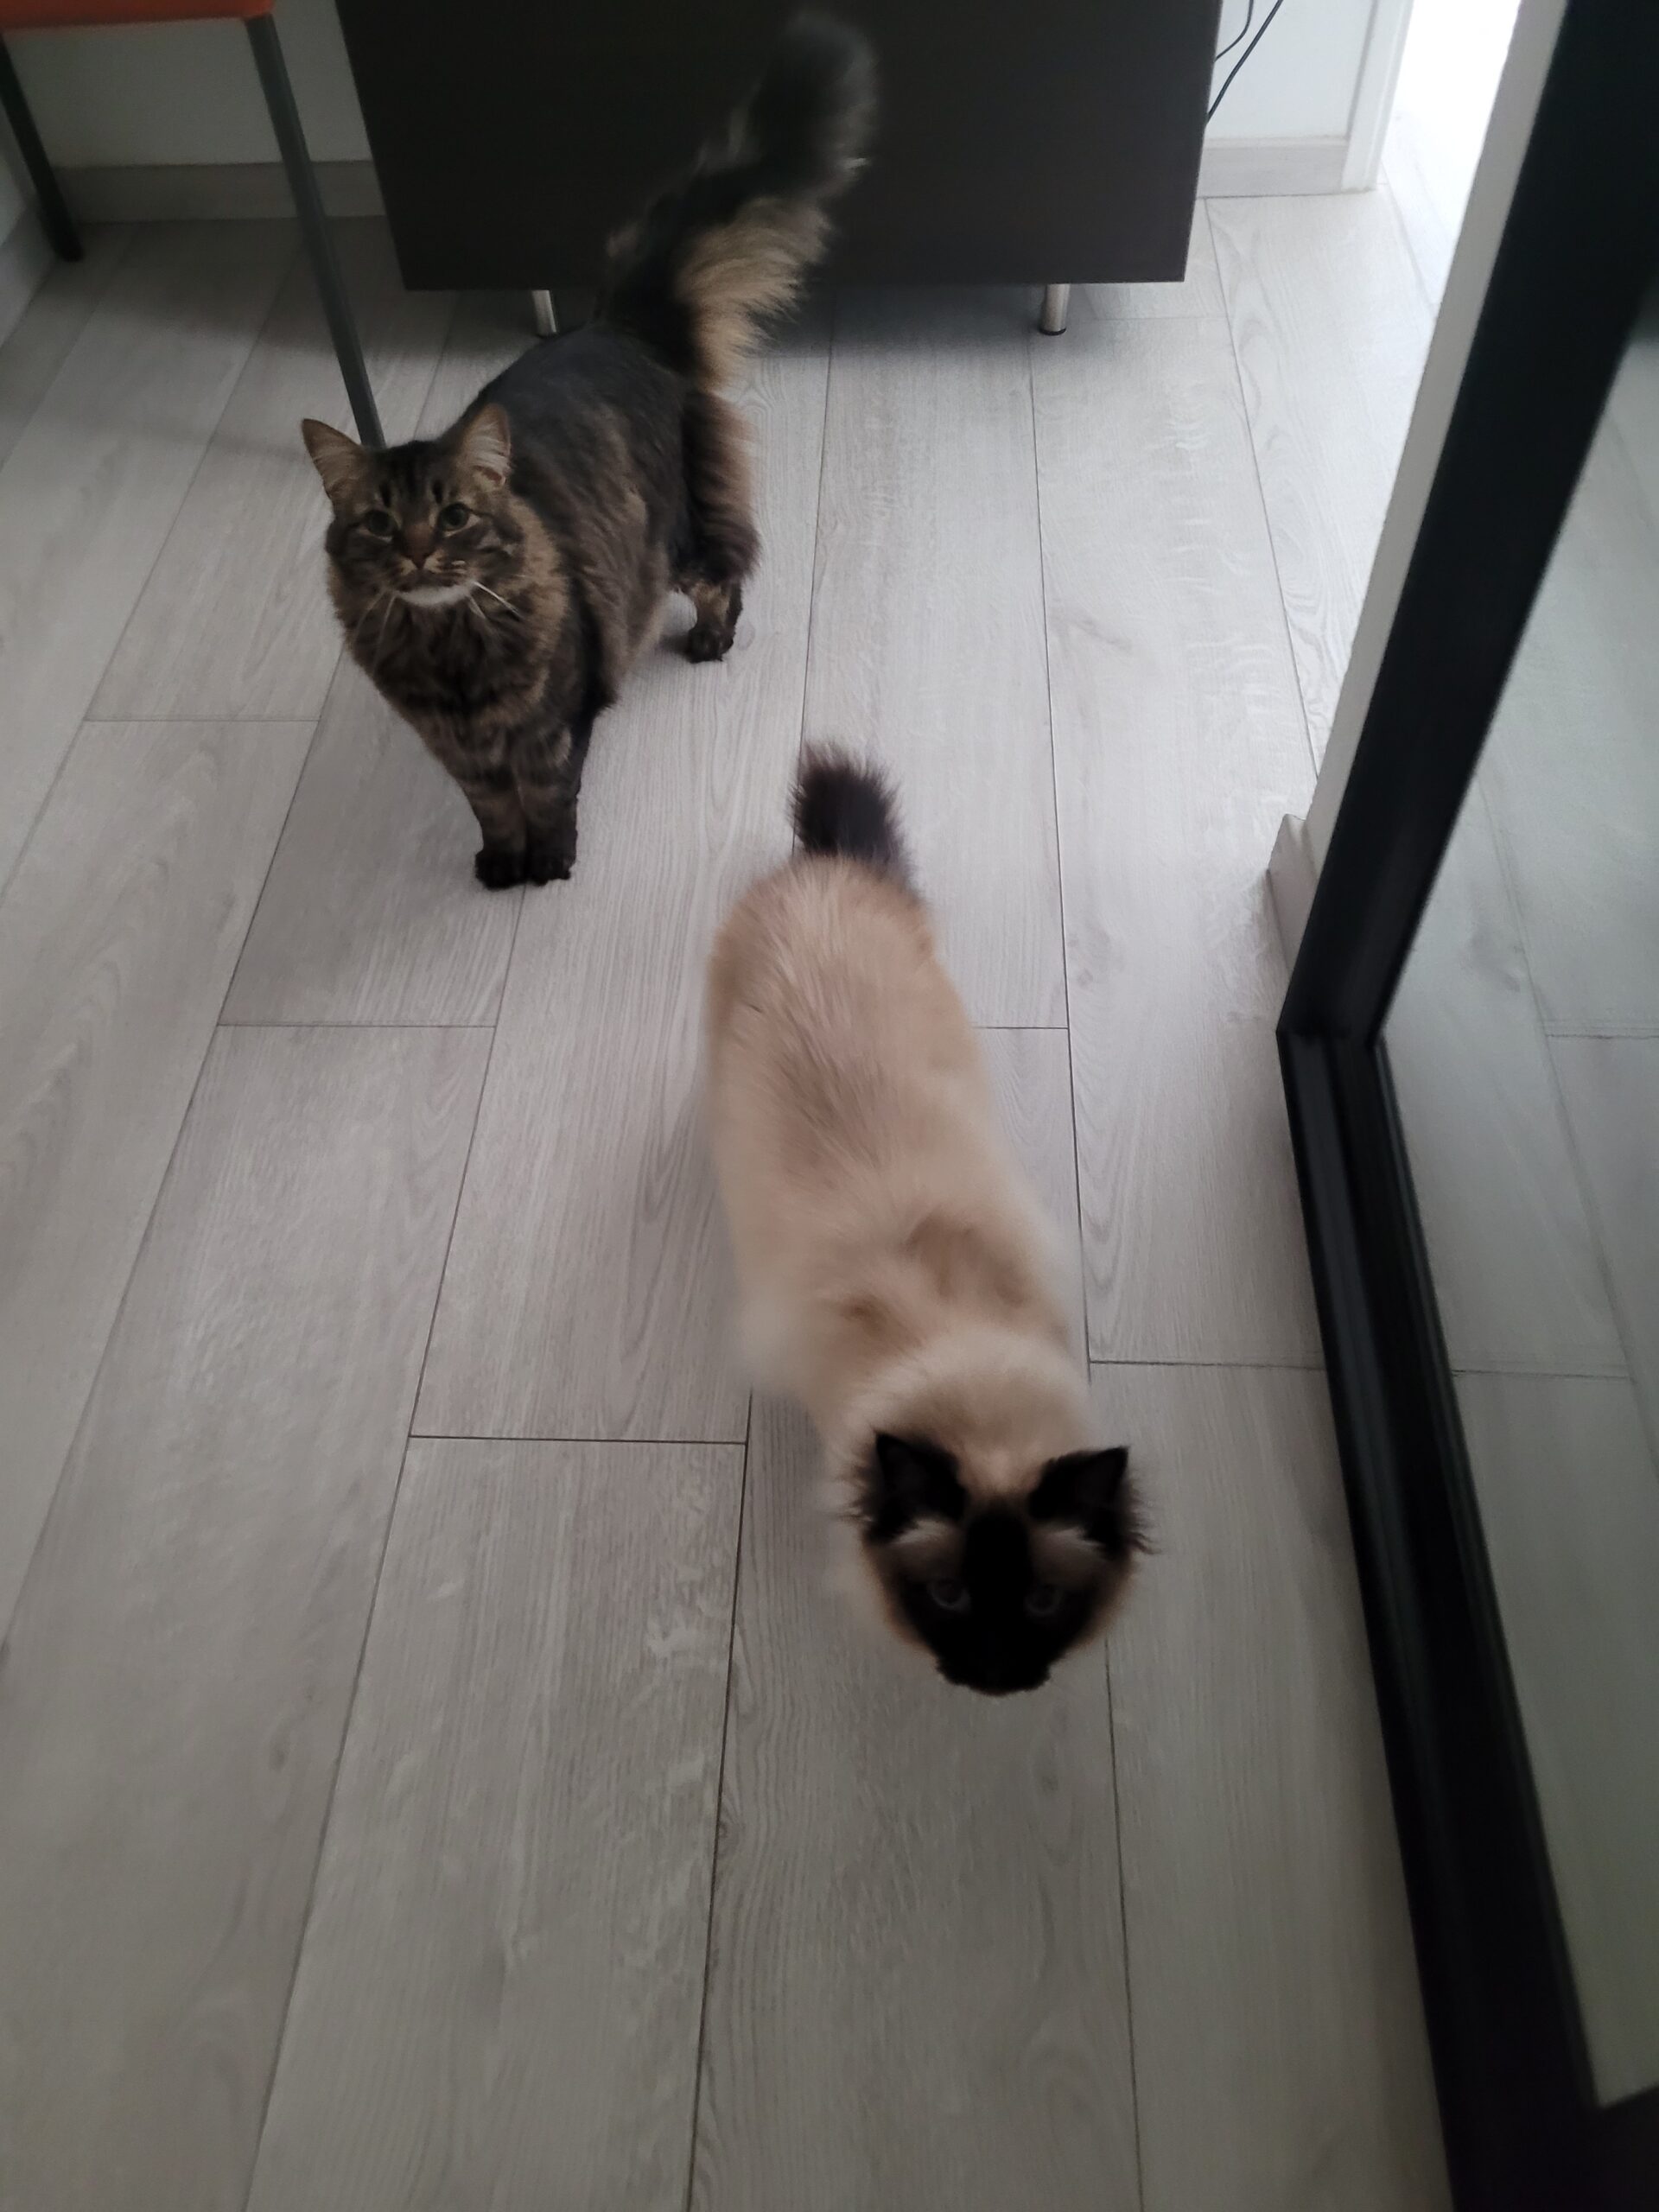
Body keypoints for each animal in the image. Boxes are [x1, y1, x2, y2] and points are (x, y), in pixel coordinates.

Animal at [301, 15, 874, 889]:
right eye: (378, 524)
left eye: (454, 516)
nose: (420, 554)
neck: (451, 653)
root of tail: (616, 325)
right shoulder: (457, 751)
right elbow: (492, 808)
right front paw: (501, 864)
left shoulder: (553, 722)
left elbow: (546, 796)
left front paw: (548, 865)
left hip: (680, 539)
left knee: (727, 577)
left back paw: (710, 643)